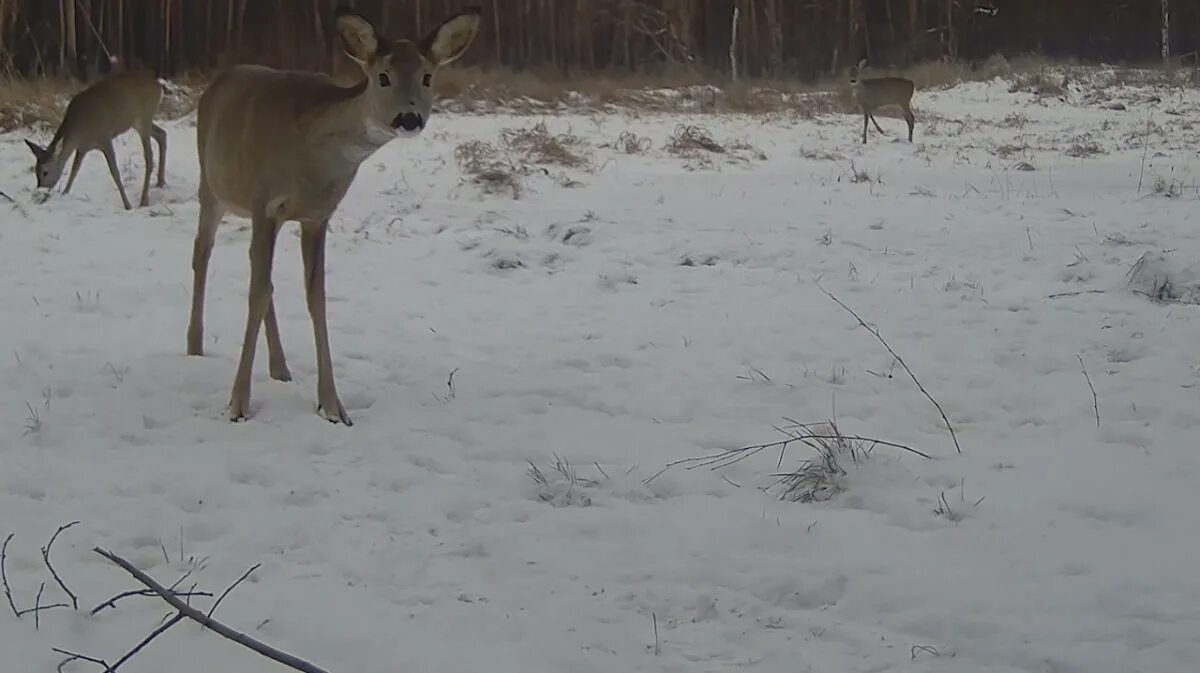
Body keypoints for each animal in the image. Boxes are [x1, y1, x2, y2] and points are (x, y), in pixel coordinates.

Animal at [26, 69, 168, 208]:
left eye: (45, 172)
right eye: (36, 171)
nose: (41, 188)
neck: (78, 130)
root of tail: (158, 86)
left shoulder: (104, 137)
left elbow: (114, 172)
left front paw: (127, 205)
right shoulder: (82, 148)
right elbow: (74, 171)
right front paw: (64, 194)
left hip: (145, 117)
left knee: (149, 156)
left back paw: (144, 201)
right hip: (137, 122)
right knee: (162, 134)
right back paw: (160, 183)